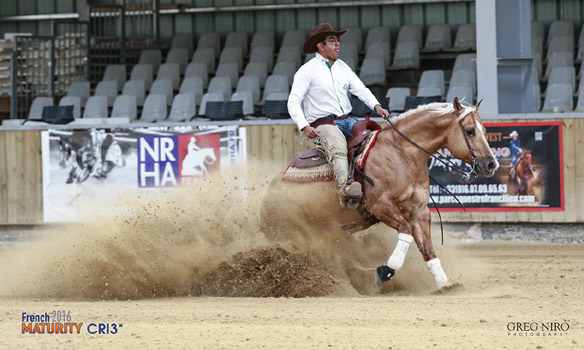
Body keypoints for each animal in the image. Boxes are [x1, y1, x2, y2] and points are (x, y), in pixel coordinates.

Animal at [262, 98, 500, 290]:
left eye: (484, 130)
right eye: (469, 130)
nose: (491, 165)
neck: (402, 154)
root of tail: (267, 194)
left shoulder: (420, 211)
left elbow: (428, 248)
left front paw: (444, 284)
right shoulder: (380, 206)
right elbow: (406, 233)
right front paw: (385, 271)